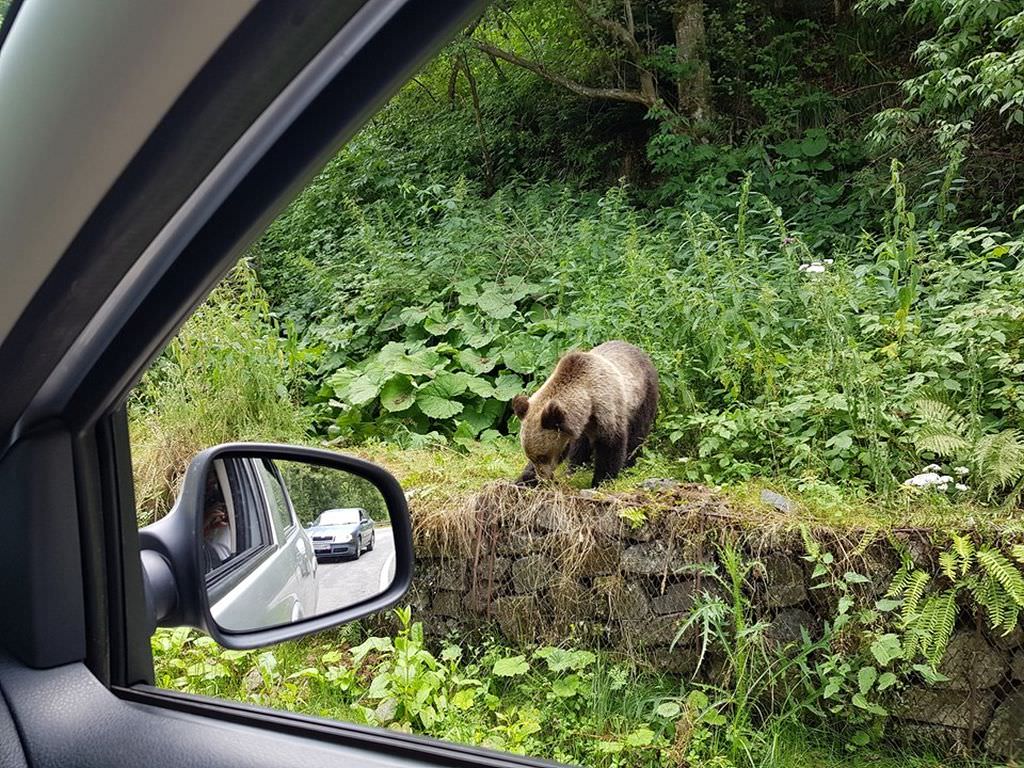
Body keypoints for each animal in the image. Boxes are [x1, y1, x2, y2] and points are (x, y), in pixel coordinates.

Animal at [509, 342, 655, 489]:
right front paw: (524, 478)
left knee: (637, 435)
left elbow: (610, 446)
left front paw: (601, 481)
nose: (543, 476)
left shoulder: (607, 409)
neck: (588, 399)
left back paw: (628, 465)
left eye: (543, 456)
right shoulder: (572, 426)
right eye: (531, 457)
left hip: (643, 397)